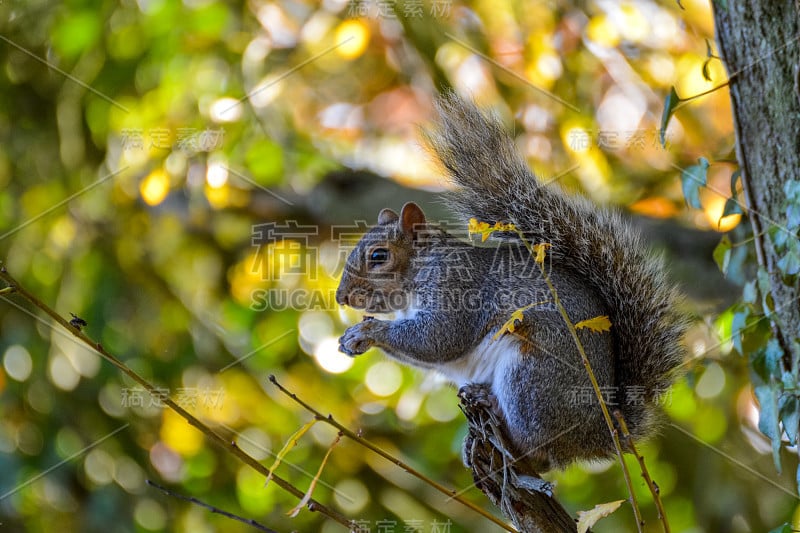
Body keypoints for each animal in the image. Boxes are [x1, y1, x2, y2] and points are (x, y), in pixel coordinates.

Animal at [334, 94, 692, 470]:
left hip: (532, 372)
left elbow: (439, 339)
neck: (421, 271)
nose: (342, 297)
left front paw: (368, 331)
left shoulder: (457, 289)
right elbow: (428, 352)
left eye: (379, 256)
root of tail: (598, 433)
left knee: (537, 447)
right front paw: (352, 338)